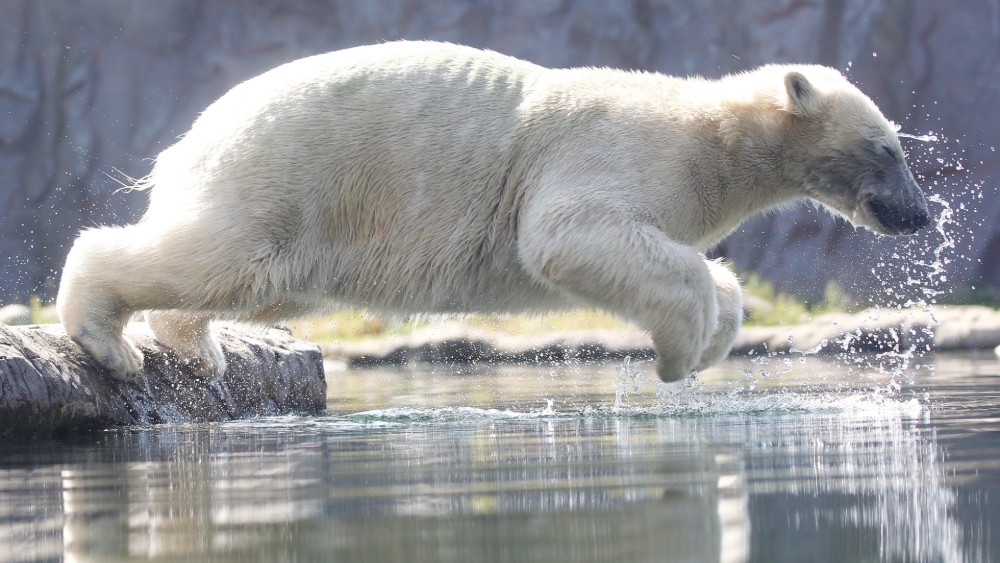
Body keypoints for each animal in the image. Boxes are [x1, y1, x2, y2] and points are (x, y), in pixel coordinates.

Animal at [56, 39, 928, 384]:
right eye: (887, 148)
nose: (919, 216)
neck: (706, 132)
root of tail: (191, 137)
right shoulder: (612, 152)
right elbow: (568, 232)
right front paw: (680, 354)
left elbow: (698, 266)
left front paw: (716, 332)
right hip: (286, 173)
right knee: (217, 253)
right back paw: (109, 342)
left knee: (251, 282)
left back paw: (196, 347)